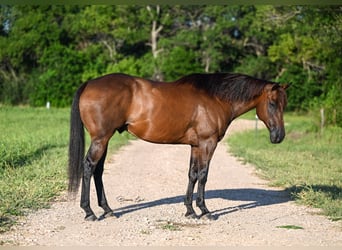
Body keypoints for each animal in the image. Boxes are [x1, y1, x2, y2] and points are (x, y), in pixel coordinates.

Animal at [69, 72, 288, 221]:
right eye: (272, 104)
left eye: (284, 105)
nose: (279, 136)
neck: (216, 99)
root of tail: (90, 83)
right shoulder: (208, 143)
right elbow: (203, 175)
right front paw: (204, 211)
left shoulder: (196, 146)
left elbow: (192, 174)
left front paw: (190, 210)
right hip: (101, 139)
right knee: (89, 167)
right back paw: (89, 212)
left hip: (104, 139)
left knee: (98, 171)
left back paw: (107, 210)